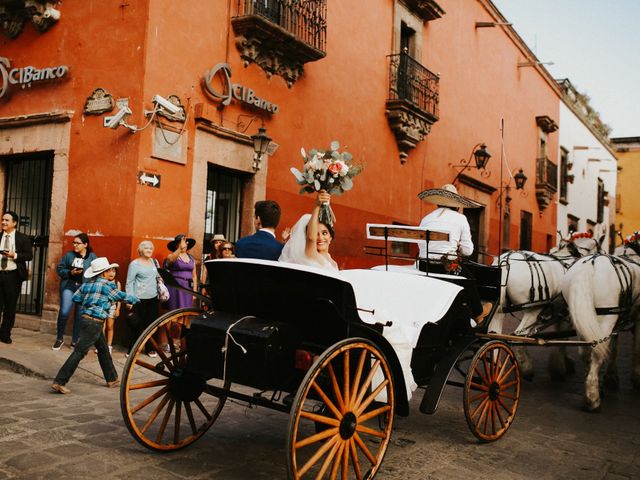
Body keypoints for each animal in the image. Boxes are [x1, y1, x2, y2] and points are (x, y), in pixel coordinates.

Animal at [488, 234, 604, 380]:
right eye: (600, 250)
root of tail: (506, 261)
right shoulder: (566, 313)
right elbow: (563, 336)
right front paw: (561, 366)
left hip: (499, 309)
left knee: (495, 334)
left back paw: (495, 367)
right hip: (533, 310)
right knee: (518, 336)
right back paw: (526, 368)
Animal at [560, 251, 640, 412]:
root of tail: (588, 266)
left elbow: (614, 348)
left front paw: (611, 376)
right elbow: (636, 347)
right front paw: (636, 377)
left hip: (583, 319)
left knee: (586, 353)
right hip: (606, 318)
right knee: (596, 353)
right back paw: (592, 398)